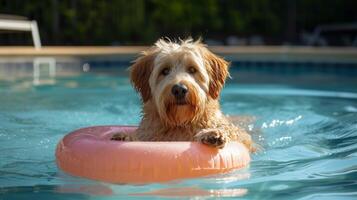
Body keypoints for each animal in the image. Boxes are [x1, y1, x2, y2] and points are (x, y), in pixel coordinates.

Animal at [111, 38, 253, 151]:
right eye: (165, 71)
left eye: (192, 69)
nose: (179, 89)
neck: (180, 124)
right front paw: (124, 137)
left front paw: (212, 134)